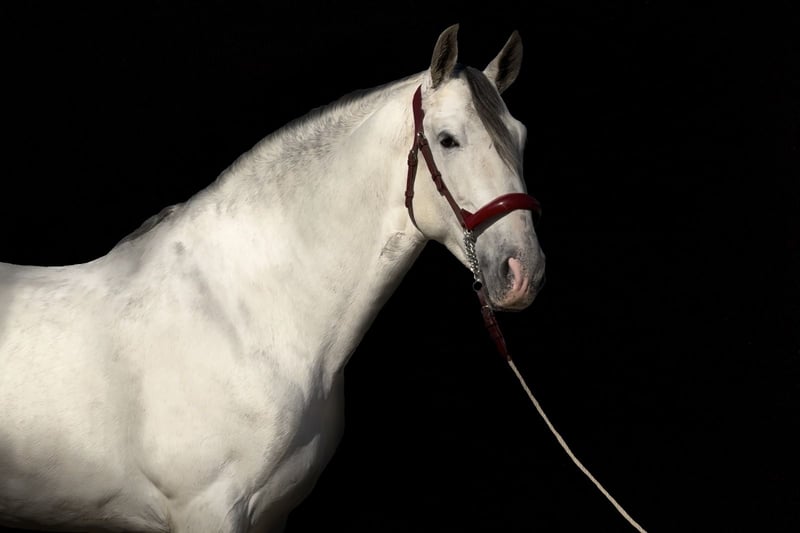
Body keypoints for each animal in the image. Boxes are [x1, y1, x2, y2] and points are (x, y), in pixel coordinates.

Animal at [0, 24, 545, 532]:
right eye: (448, 140)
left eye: (519, 136)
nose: (524, 271)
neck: (246, 317)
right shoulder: (207, 512)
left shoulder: (271, 515)